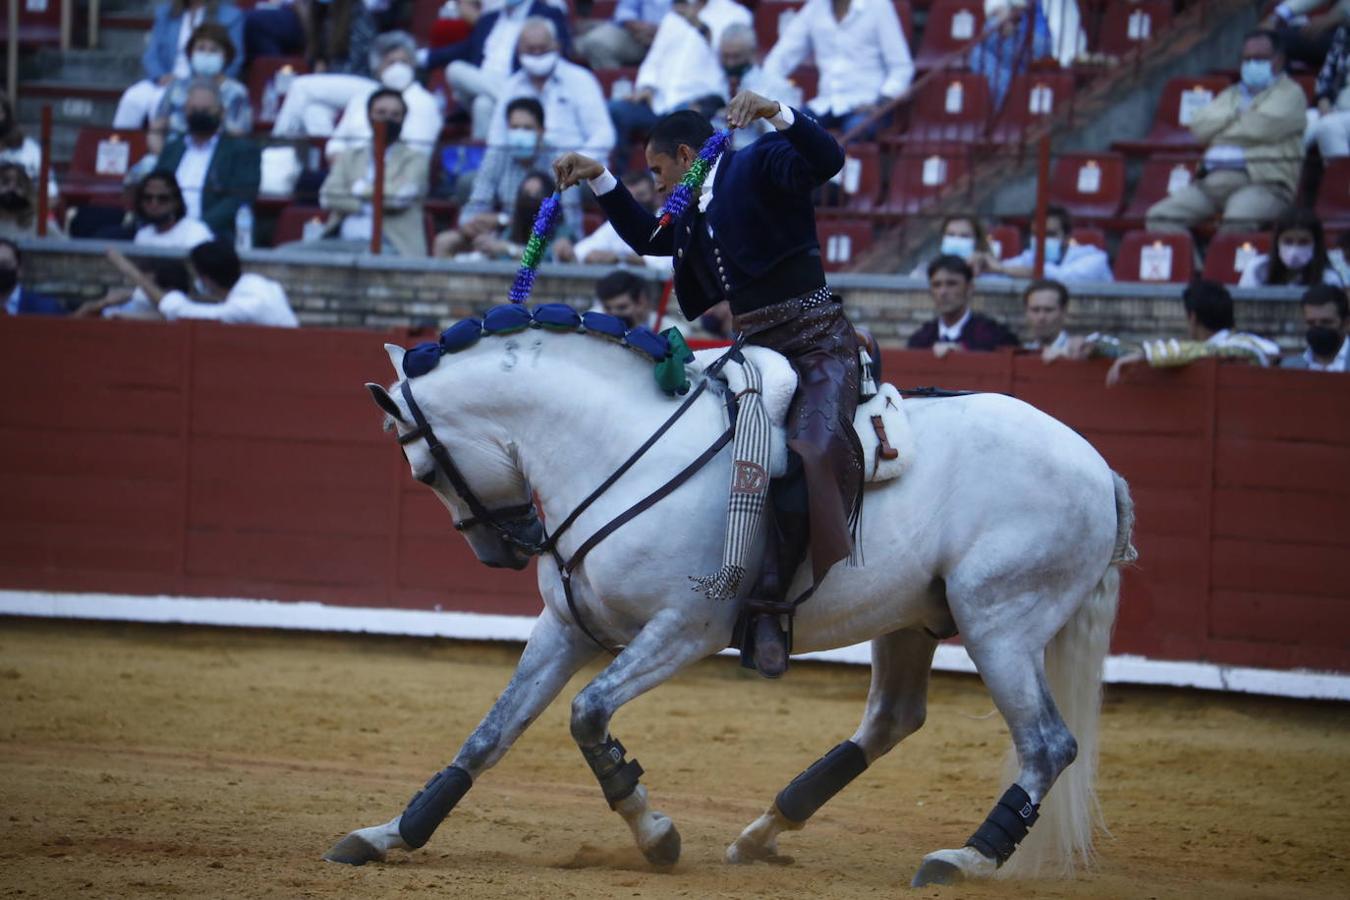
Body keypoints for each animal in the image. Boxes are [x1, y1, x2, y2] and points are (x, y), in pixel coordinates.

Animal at [329, 325, 1139, 885]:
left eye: (423, 469)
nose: (505, 549)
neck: (619, 446)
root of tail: (1099, 465)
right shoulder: (567, 627)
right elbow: (491, 734)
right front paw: (389, 834)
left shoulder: (686, 626)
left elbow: (587, 714)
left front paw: (655, 835)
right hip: (914, 620)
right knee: (893, 720)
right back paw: (763, 832)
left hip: (1000, 622)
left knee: (1047, 744)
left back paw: (964, 860)